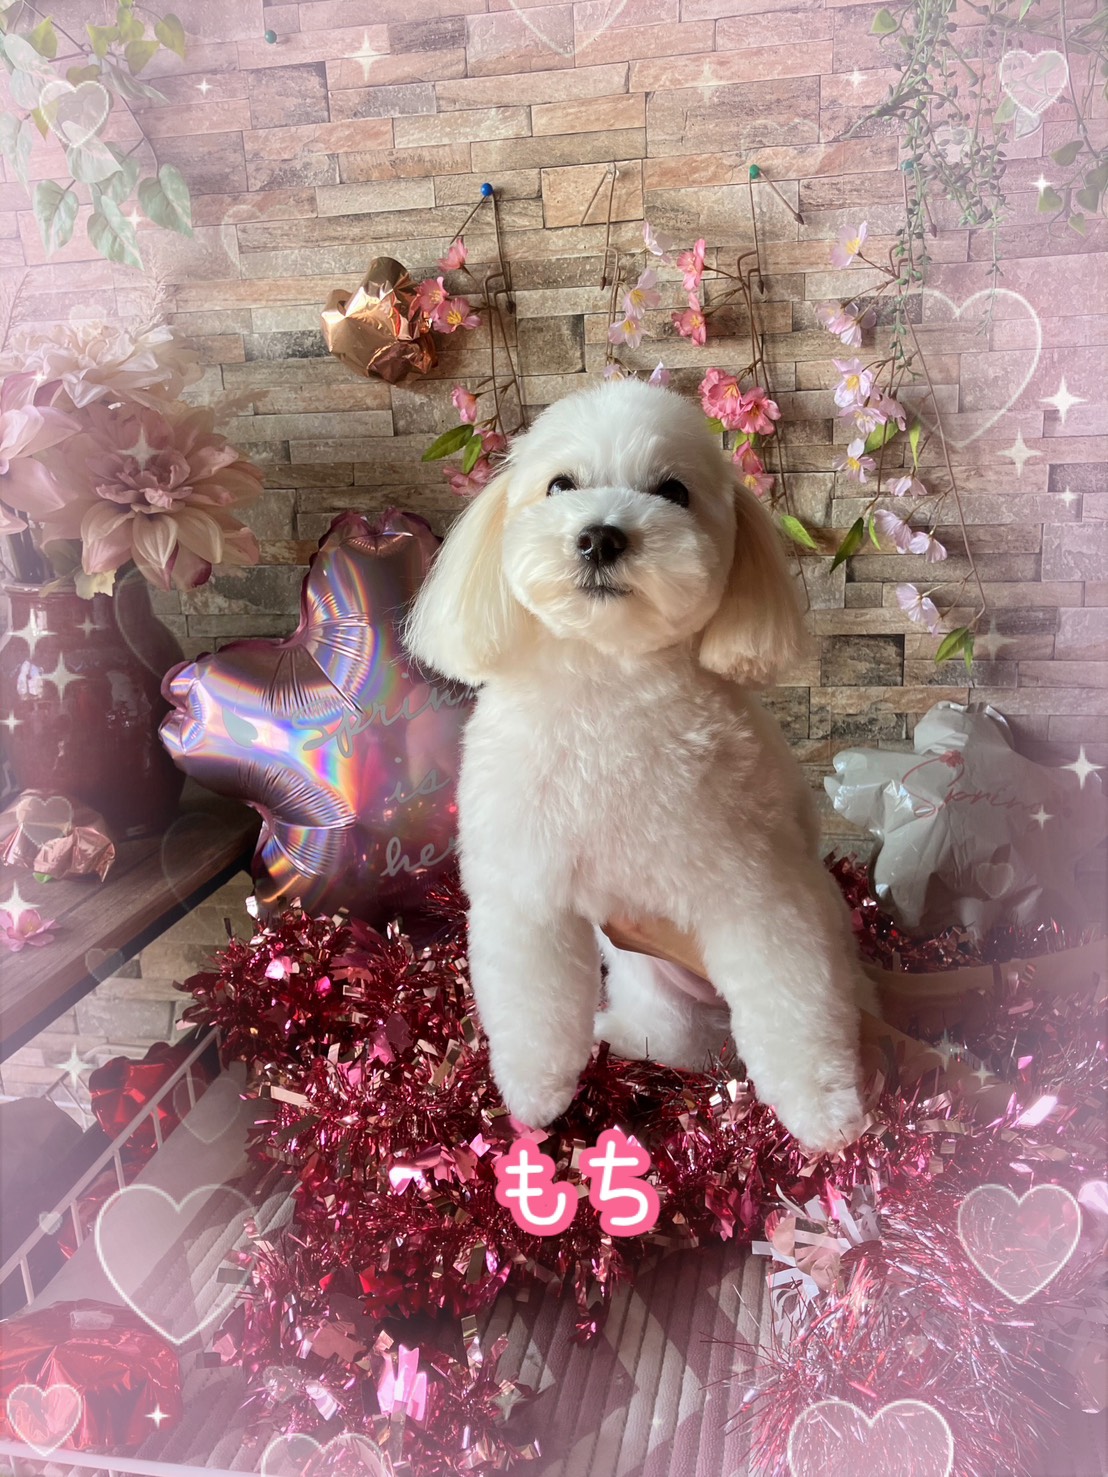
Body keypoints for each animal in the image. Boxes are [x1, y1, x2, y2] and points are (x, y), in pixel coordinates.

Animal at [405, 378, 871, 1153]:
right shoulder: (525, 891)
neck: (609, 681)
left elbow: (795, 1007)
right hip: (660, 1004)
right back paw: (617, 1036)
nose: (600, 536)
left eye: (673, 491)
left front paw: (826, 1112)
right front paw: (534, 1096)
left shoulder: (761, 893)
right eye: (560, 484)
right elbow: (532, 1006)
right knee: (660, 1037)